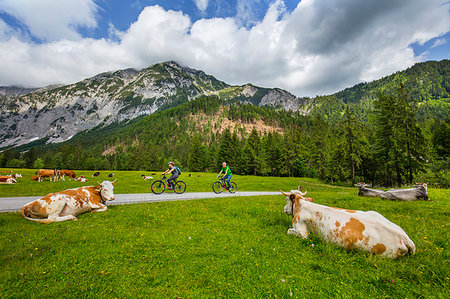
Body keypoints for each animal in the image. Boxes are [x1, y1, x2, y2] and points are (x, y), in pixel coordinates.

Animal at [282, 192, 414, 260]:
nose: (284, 209)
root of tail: (403, 237)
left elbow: (289, 231)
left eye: (286, 199)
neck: (302, 206)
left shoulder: (302, 233)